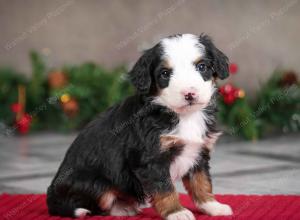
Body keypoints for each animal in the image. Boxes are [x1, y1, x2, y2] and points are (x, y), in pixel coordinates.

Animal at [47, 33, 233, 219]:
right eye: (165, 74)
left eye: (202, 67)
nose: (189, 94)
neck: (184, 116)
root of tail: (51, 196)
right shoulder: (151, 159)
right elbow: (165, 188)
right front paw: (176, 212)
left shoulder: (198, 153)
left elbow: (202, 183)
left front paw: (213, 206)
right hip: (97, 183)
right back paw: (120, 208)